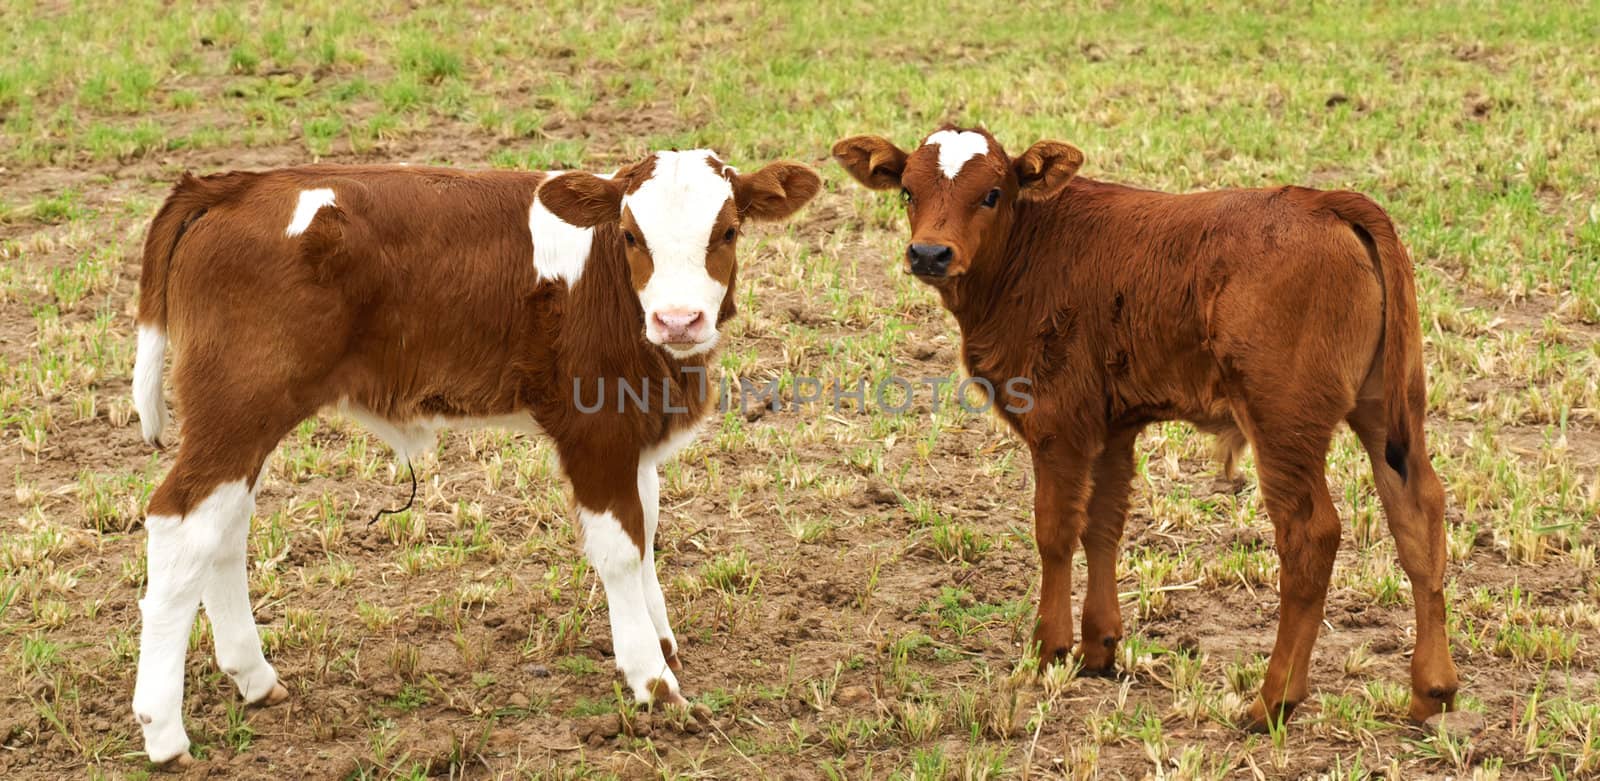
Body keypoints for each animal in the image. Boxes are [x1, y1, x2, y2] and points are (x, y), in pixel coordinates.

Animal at [131, 151, 819, 761]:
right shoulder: (594, 431)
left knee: (224, 530)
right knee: (179, 525)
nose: (679, 320)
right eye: (630, 235)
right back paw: (163, 732)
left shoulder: (635, 434)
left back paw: (254, 678)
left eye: (727, 231)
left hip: (243, 422)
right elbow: (622, 549)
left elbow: (647, 529)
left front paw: (664, 644)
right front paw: (654, 682)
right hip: (238, 407)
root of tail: (232, 184)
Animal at [838, 128, 1465, 732]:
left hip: (1284, 421)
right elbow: (1103, 526)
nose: (929, 253)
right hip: (1387, 407)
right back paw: (1430, 691)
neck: (1032, 246)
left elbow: (1055, 533)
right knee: (1417, 513)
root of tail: (1325, 200)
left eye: (992, 194)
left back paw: (1272, 701)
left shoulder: (1057, 424)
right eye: (908, 192)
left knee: (1310, 536)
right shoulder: (1112, 427)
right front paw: (1098, 647)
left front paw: (1048, 649)